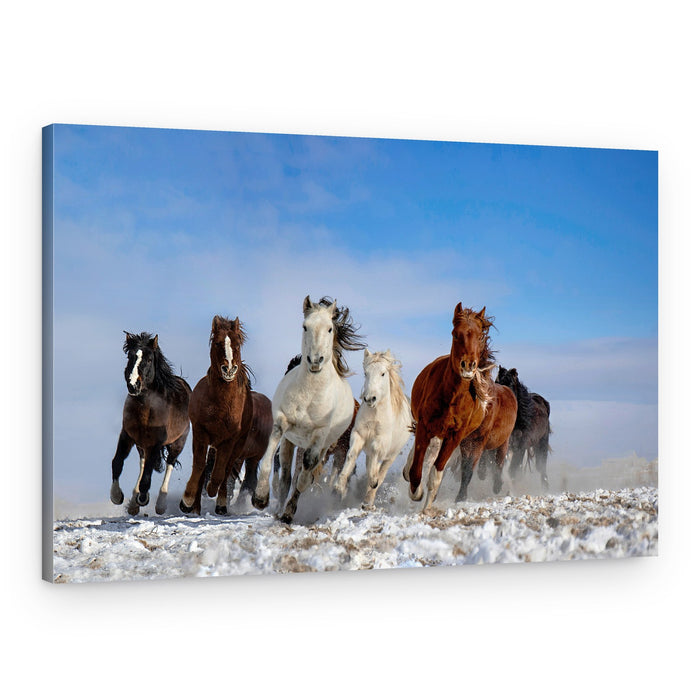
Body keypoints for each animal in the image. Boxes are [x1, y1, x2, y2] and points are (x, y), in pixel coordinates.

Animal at [110, 332, 191, 515]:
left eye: (148, 360)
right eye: (130, 356)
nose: (133, 385)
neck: (145, 407)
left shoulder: (156, 442)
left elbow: (147, 476)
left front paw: (143, 498)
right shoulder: (126, 436)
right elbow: (117, 462)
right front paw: (117, 496)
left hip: (178, 442)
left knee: (169, 464)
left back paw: (160, 504)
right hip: (142, 445)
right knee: (142, 463)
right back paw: (133, 503)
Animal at [179, 316, 273, 515]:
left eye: (237, 344)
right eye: (217, 343)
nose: (229, 369)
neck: (220, 405)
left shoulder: (229, 440)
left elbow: (220, 472)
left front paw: (212, 492)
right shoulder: (200, 432)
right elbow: (199, 466)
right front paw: (187, 501)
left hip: (240, 448)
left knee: (227, 470)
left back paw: (221, 503)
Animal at [252, 295, 366, 523]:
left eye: (330, 328)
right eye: (305, 326)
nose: (315, 361)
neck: (310, 393)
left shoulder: (319, 438)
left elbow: (306, 474)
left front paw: (290, 510)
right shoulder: (282, 424)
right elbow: (270, 458)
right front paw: (260, 498)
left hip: (324, 446)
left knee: (302, 473)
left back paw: (287, 512)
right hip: (292, 441)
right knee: (286, 476)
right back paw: (279, 509)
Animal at [333, 349, 413, 509]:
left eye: (383, 373)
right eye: (366, 373)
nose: (370, 399)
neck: (374, 415)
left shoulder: (381, 440)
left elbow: (376, 456)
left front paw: (373, 480)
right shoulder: (358, 435)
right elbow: (351, 454)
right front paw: (340, 486)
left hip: (391, 456)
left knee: (381, 473)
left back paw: (369, 499)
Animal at [402, 303, 495, 513]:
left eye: (479, 336)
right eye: (455, 334)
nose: (468, 366)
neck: (452, 398)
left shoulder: (455, 436)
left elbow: (436, 472)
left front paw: (427, 506)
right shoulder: (425, 426)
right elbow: (416, 469)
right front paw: (416, 492)